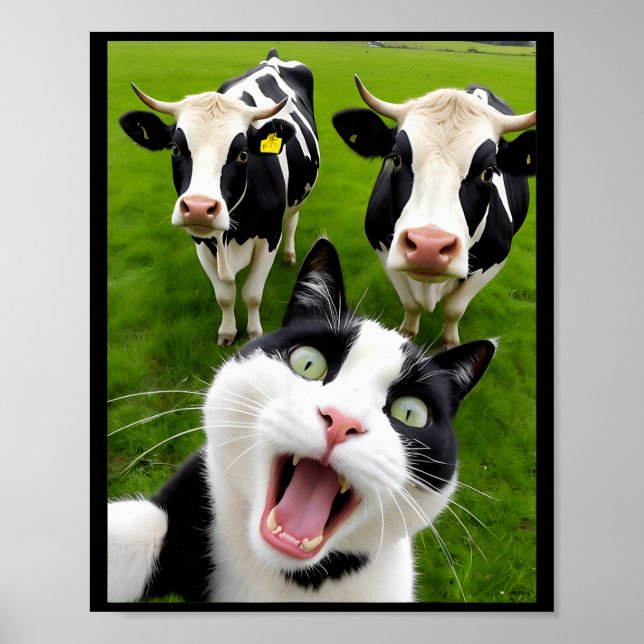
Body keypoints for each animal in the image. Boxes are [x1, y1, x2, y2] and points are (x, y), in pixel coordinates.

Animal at [118, 48, 320, 346]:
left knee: (292, 220)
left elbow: (252, 294)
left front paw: (254, 334)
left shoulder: (269, 236)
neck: (231, 238)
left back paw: (290, 255)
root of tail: (273, 56)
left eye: (243, 154)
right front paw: (227, 332)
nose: (199, 208)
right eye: (175, 149)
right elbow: (225, 295)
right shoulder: (201, 242)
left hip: (298, 198)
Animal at [332, 77, 536, 348]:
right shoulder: (381, 247)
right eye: (395, 159)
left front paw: (450, 342)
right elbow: (410, 305)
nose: (428, 248)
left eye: (489, 172)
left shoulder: (496, 258)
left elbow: (454, 309)